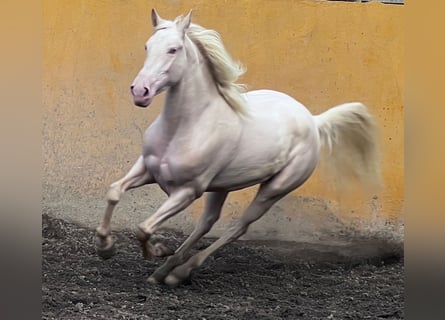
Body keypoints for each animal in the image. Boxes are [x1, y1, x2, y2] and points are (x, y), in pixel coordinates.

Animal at [95, 9, 380, 288]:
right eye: (147, 46)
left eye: (173, 49)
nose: (140, 91)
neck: (184, 127)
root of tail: (313, 120)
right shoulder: (147, 169)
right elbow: (114, 192)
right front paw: (106, 248)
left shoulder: (187, 191)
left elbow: (143, 228)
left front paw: (156, 250)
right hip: (221, 187)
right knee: (207, 222)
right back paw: (165, 271)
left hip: (274, 189)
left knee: (239, 227)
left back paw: (180, 271)